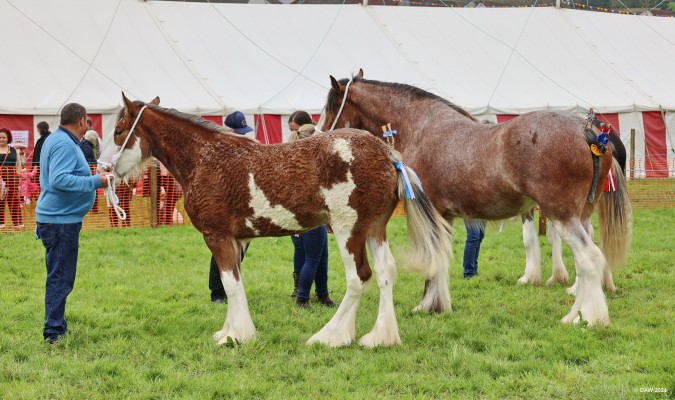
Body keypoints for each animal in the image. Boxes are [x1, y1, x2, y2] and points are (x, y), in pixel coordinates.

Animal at [98, 94, 451, 347]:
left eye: (118, 131)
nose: (104, 170)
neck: (205, 159)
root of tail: (386, 152)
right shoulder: (237, 240)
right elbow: (234, 282)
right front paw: (230, 330)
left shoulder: (217, 236)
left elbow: (230, 283)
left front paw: (235, 336)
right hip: (374, 229)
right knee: (385, 272)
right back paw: (380, 337)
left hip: (347, 230)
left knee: (358, 278)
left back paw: (329, 336)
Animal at [317, 70, 632, 326]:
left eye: (330, 107)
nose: (318, 136)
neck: (421, 126)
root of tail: (591, 134)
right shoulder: (445, 216)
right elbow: (441, 259)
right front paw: (438, 304)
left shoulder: (432, 213)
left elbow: (433, 260)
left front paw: (427, 305)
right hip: (580, 215)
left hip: (562, 215)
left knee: (589, 258)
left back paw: (586, 317)